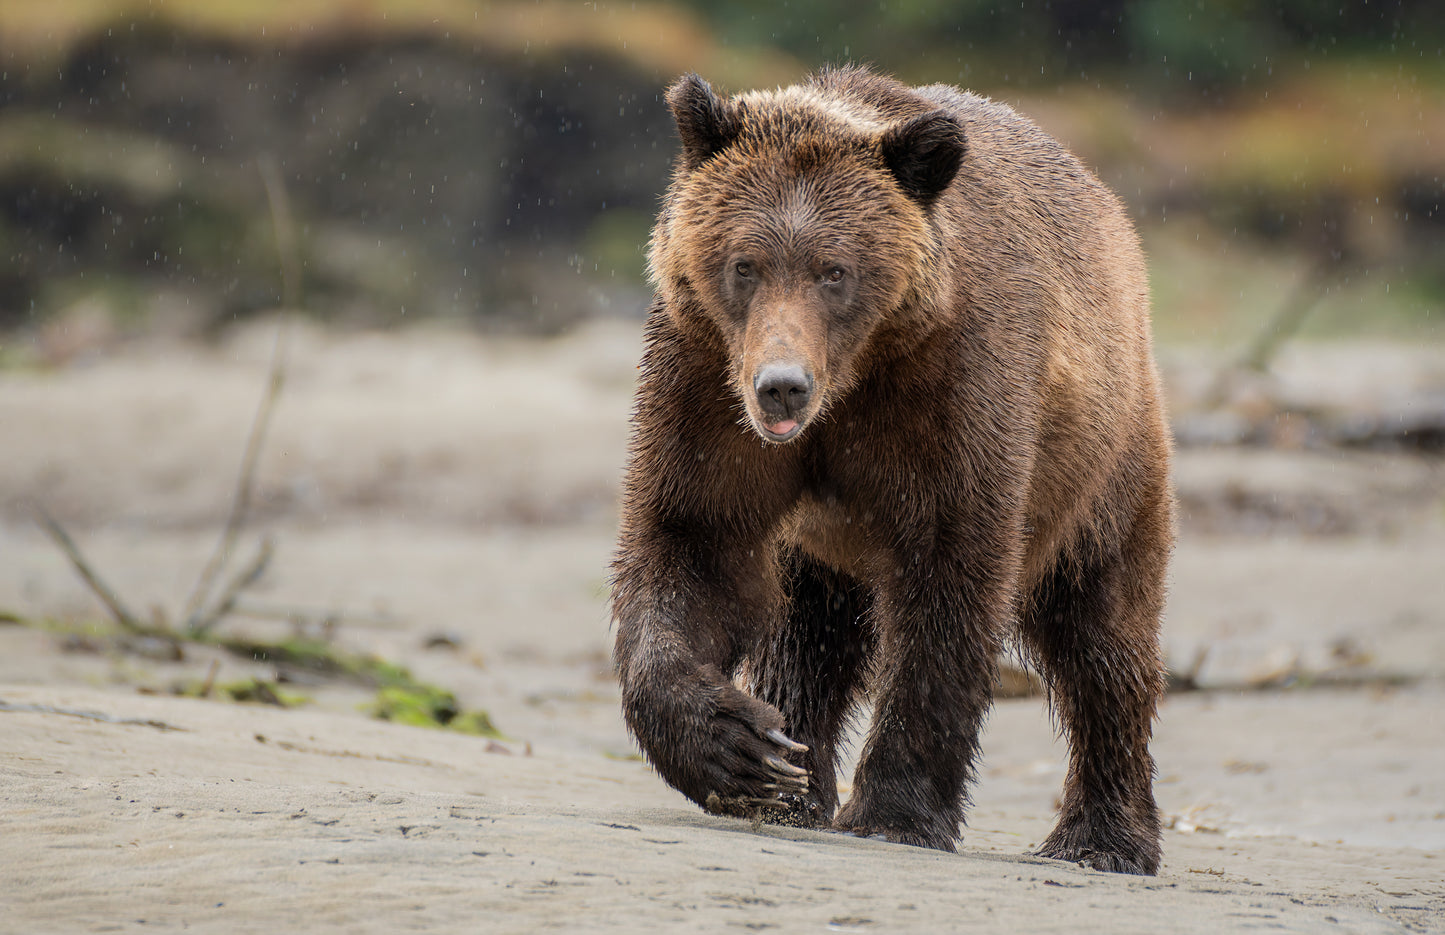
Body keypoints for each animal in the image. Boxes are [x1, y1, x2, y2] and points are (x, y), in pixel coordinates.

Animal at [609, 65, 1173, 878]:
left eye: (834, 271)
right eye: (744, 264)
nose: (781, 386)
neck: (852, 382)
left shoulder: (953, 394)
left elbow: (948, 583)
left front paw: (894, 813)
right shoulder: (705, 379)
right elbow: (692, 542)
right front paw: (738, 749)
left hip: (1102, 464)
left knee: (1102, 633)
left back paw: (1103, 838)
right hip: (822, 542)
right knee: (810, 634)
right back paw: (794, 777)